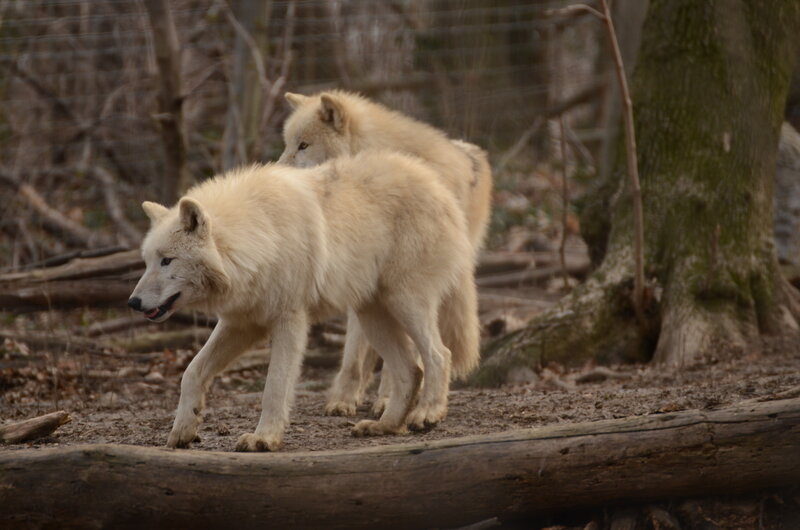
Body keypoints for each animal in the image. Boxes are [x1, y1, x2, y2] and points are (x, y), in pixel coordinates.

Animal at [127, 151, 472, 451]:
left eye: (167, 261)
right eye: (147, 262)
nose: (133, 302)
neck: (262, 236)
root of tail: (440, 187)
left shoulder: (289, 320)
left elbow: (275, 387)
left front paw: (264, 439)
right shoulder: (241, 323)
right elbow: (192, 372)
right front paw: (183, 430)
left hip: (405, 302)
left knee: (438, 355)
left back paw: (427, 414)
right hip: (372, 315)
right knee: (411, 370)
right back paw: (385, 426)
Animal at [279, 90, 493, 418]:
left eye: (303, 145)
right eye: (288, 144)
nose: (276, 174)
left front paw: (389, 398)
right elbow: (354, 354)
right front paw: (344, 399)